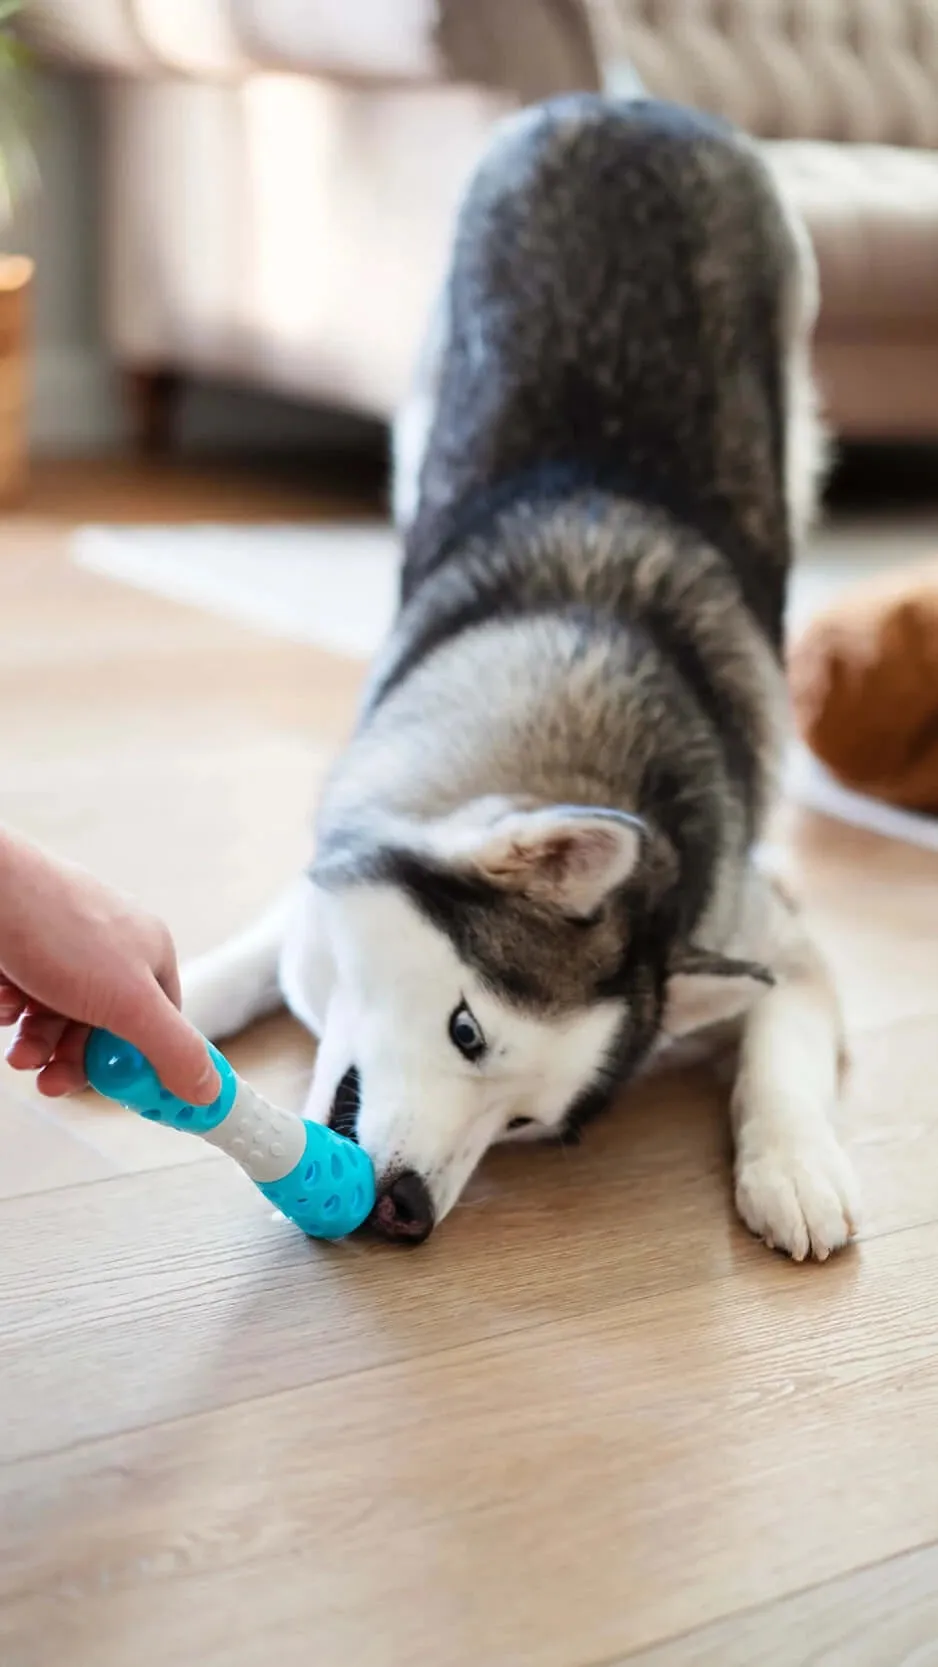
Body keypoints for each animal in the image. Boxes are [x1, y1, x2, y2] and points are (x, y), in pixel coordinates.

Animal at [187, 97, 859, 1253]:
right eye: (466, 1030)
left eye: (526, 1123)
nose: (409, 1209)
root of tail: (628, 105)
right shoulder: (372, 805)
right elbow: (276, 920)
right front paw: (176, 987)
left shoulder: (769, 934)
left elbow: (786, 1039)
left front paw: (795, 1162)